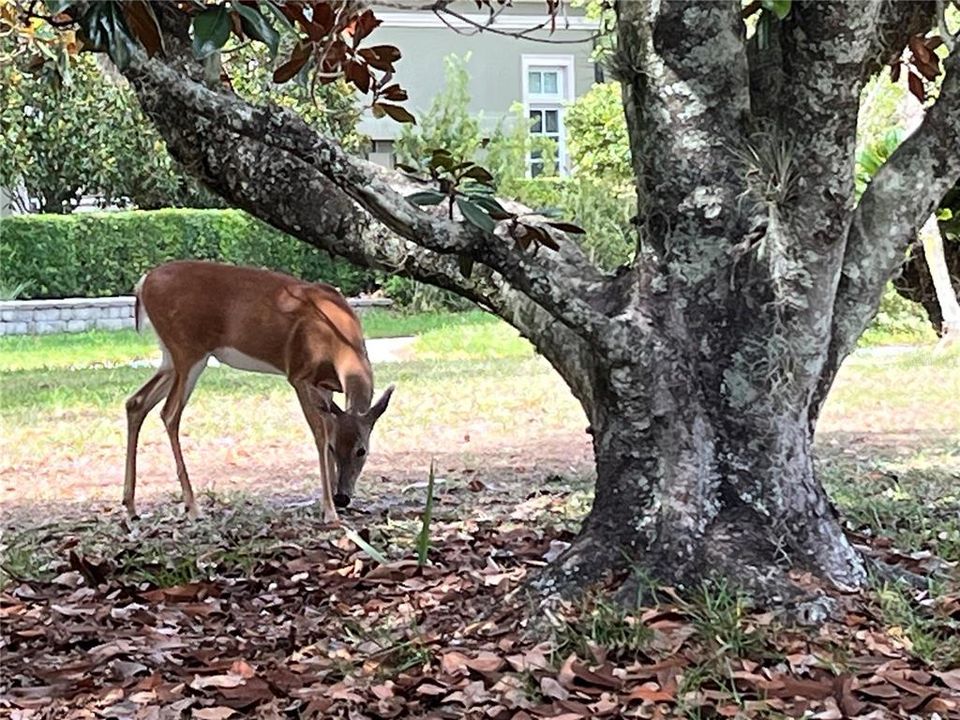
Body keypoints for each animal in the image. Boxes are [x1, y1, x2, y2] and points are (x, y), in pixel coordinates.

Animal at [124, 258, 394, 524]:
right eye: (334, 448)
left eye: (362, 450)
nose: (342, 497)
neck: (337, 339)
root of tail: (143, 282)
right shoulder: (299, 375)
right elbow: (319, 434)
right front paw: (329, 512)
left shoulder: (324, 386)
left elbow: (327, 426)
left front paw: (327, 506)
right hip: (187, 349)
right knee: (169, 413)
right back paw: (192, 507)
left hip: (170, 357)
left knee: (136, 402)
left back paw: (131, 506)